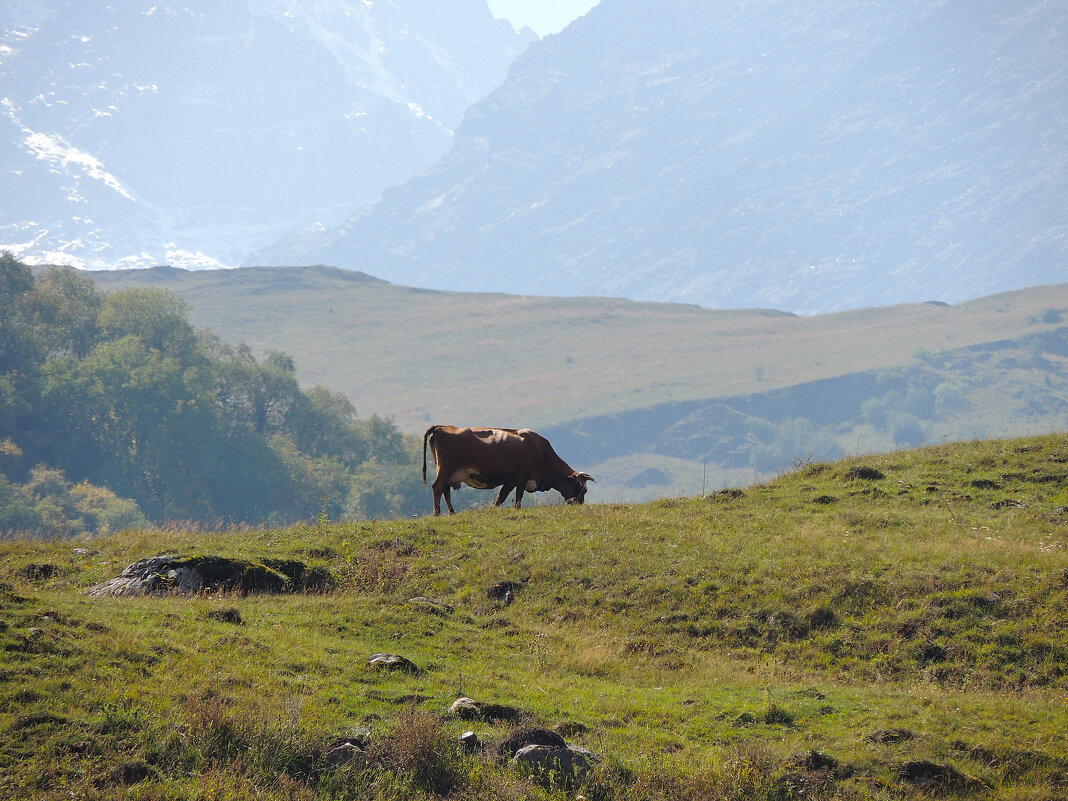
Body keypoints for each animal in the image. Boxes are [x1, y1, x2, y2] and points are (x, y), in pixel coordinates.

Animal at [422, 422, 593, 516]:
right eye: (580, 487)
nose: (580, 504)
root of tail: (442, 427)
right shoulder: (522, 477)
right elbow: (518, 497)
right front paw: (517, 509)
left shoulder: (510, 481)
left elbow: (500, 498)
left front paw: (493, 509)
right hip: (446, 468)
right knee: (437, 487)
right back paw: (437, 513)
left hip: (447, 471)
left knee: (445, 490)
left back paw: (452, 512)